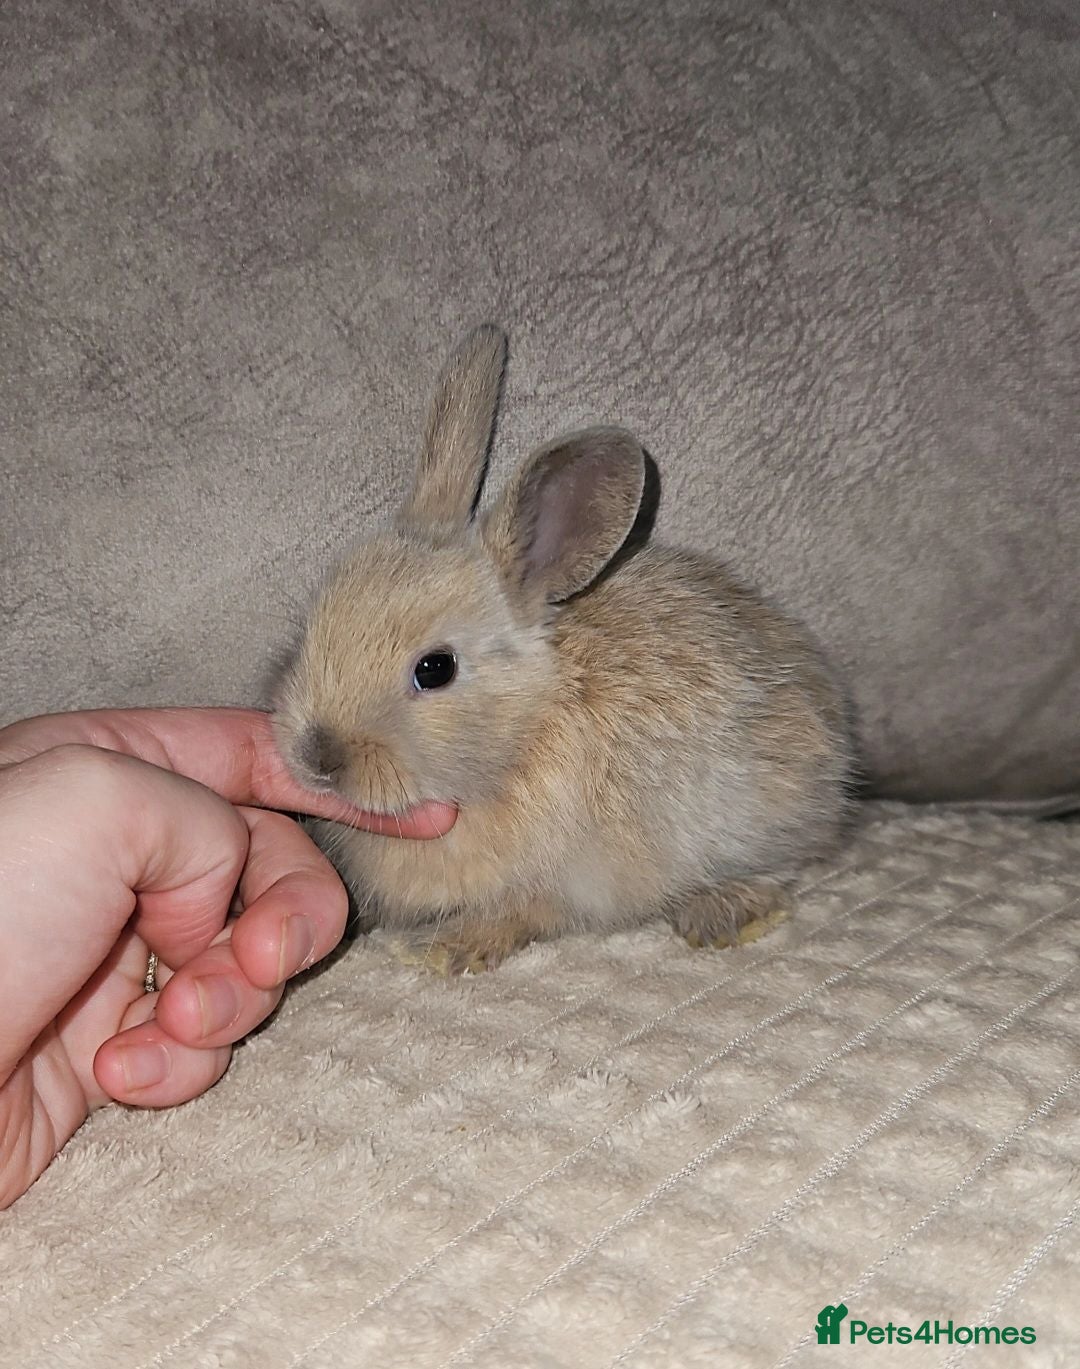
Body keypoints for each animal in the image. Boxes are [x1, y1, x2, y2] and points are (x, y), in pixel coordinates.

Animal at [272, 326, 854, 973]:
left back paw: (724, 912)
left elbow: (517, 915)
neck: (523, 736)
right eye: (310, 630)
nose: (318, 755)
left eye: (435, 669)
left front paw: (444, 950)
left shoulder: (556, 885)